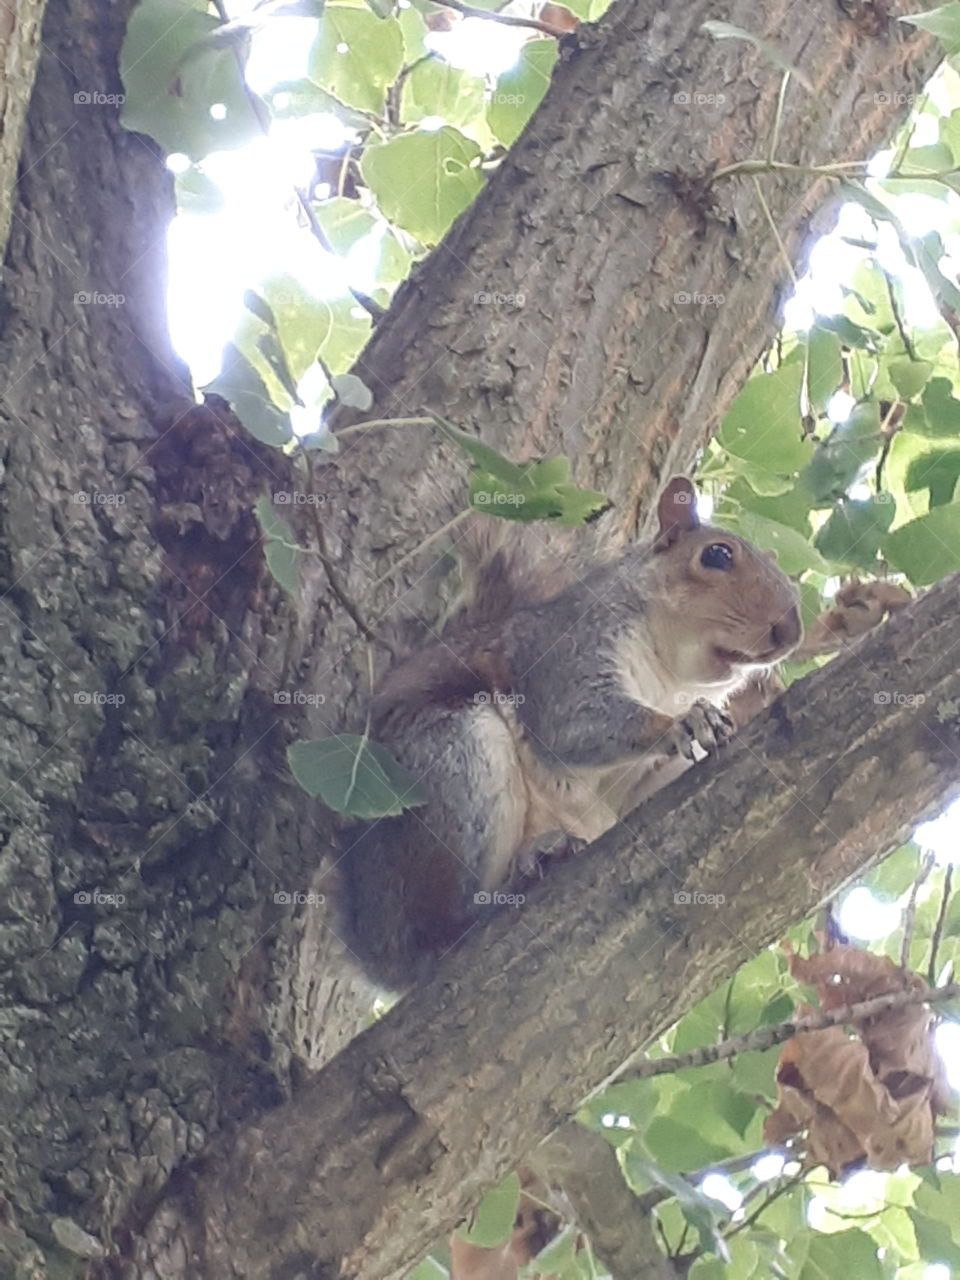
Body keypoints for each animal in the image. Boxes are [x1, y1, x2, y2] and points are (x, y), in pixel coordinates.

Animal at [340, 481, 803, 988]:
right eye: (717, 555)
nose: (791, 632)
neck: (671, 677)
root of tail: (381, 957)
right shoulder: (568, 649)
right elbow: (570, 724)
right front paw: (685, 721)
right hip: (452, 766)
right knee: (441, 929)